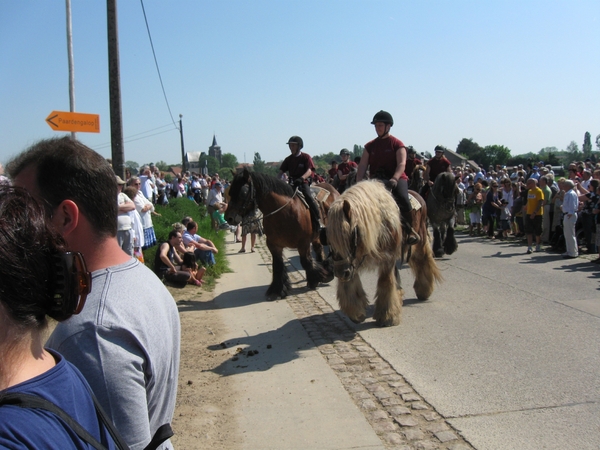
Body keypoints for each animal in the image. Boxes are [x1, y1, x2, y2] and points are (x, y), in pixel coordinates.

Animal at [225, 169, 338, 298]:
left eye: (243, 192)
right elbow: (278, 265)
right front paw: (278, 290)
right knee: (319, 249)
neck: (284, 212)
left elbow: (306, 262)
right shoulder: (274, 245)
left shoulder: (303, 244)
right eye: (231, 191)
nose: (228, 218)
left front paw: (318, 278)